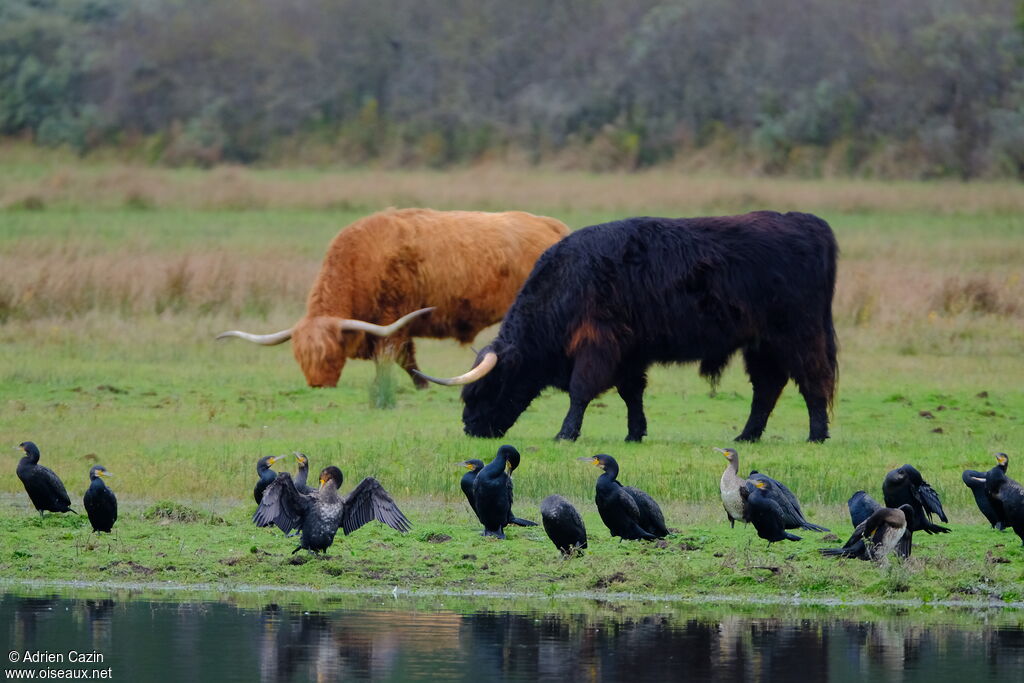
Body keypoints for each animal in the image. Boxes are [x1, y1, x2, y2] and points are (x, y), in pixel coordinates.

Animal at [217, 208, 569, 387]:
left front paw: (419, 384)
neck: (361, 260)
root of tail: (551, 225)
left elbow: (397, 355)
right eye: (299, 358)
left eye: (330, 356)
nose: (318, 385)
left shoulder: (393, 317)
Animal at [415, 210, 839, 444]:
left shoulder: (597, 343)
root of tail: (806, 221)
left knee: (812, 379)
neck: (565, 284)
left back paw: (817, 434)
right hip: (761, 342)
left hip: (798, 333)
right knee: (767, 387)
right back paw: (747, 435)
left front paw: (566, 433)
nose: (471, 428)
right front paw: (635, 432)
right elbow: (631, 393)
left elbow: (581, 391)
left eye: (485, 389)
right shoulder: (630, 351)